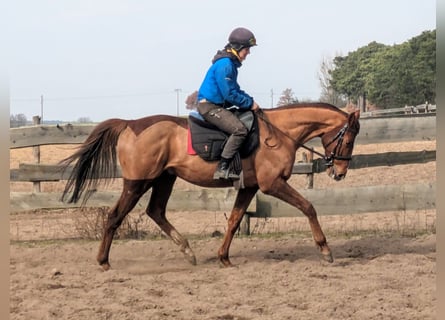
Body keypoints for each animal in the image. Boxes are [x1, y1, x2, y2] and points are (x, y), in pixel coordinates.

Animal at [61, 102, 360, 270]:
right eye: (348, 140)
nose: (340, 173)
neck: (278, 133)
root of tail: (130, 124)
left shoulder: (249, 187)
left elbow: (235, 220)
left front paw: (224, 257)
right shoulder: (272, 184)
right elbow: (309, 207)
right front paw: (325, 250)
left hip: (164, 179)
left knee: (156, 211)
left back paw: (188, 251)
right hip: (137, 182)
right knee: (115, 216)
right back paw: (103, 261)